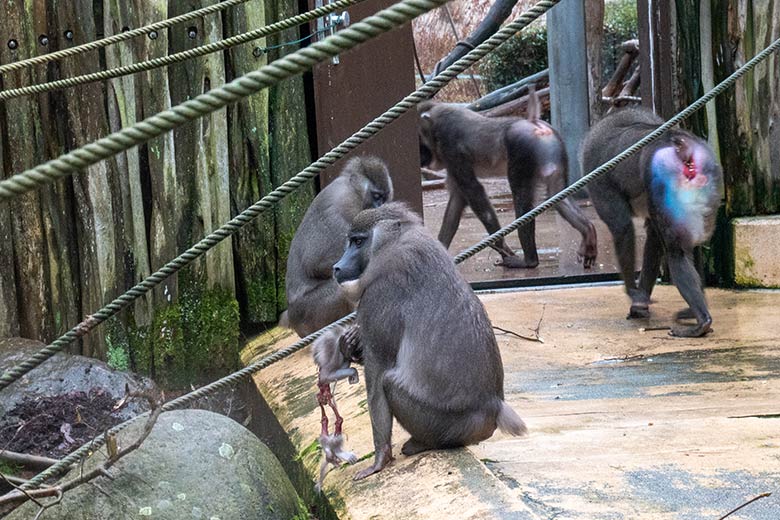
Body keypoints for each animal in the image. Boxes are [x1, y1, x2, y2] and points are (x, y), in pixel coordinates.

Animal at [280, 155, 394, 338]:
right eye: (376, 196)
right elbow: (316, 264)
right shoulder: (338, 211)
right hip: (312, 311)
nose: (379, 207)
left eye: (384, 198)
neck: (353, 191)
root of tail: (292, 317)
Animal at [332, 202, 528, 480]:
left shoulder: (379, 296)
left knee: (389, 382)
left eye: (358, 241)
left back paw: (422, 443)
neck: (394, 245)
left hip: (447, 424)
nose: (337, 267)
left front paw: (380, 459)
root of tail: (493, 406)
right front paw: (350, 341)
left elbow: (378, 372)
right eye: (350, 241)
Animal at [420, 85, 596, 268]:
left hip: (521, 151)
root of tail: (534, 123)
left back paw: (529, 261)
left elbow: (474, 192)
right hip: (555, 150)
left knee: (521, 197)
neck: (435, 125)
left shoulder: (451, 149)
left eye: (420, 142)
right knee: (558, 194)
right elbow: (458, 199)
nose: (421, 158)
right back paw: (588, 231)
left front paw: (502, 246)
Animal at [580, 109, 724, 338]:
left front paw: (635, 296)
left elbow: (622, 229)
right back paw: (696, 315)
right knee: (684, 248)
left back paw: (702, 322)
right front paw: (640, 301)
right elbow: (654, 239)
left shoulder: (600, 182)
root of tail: (677, 143)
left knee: (675, 253)